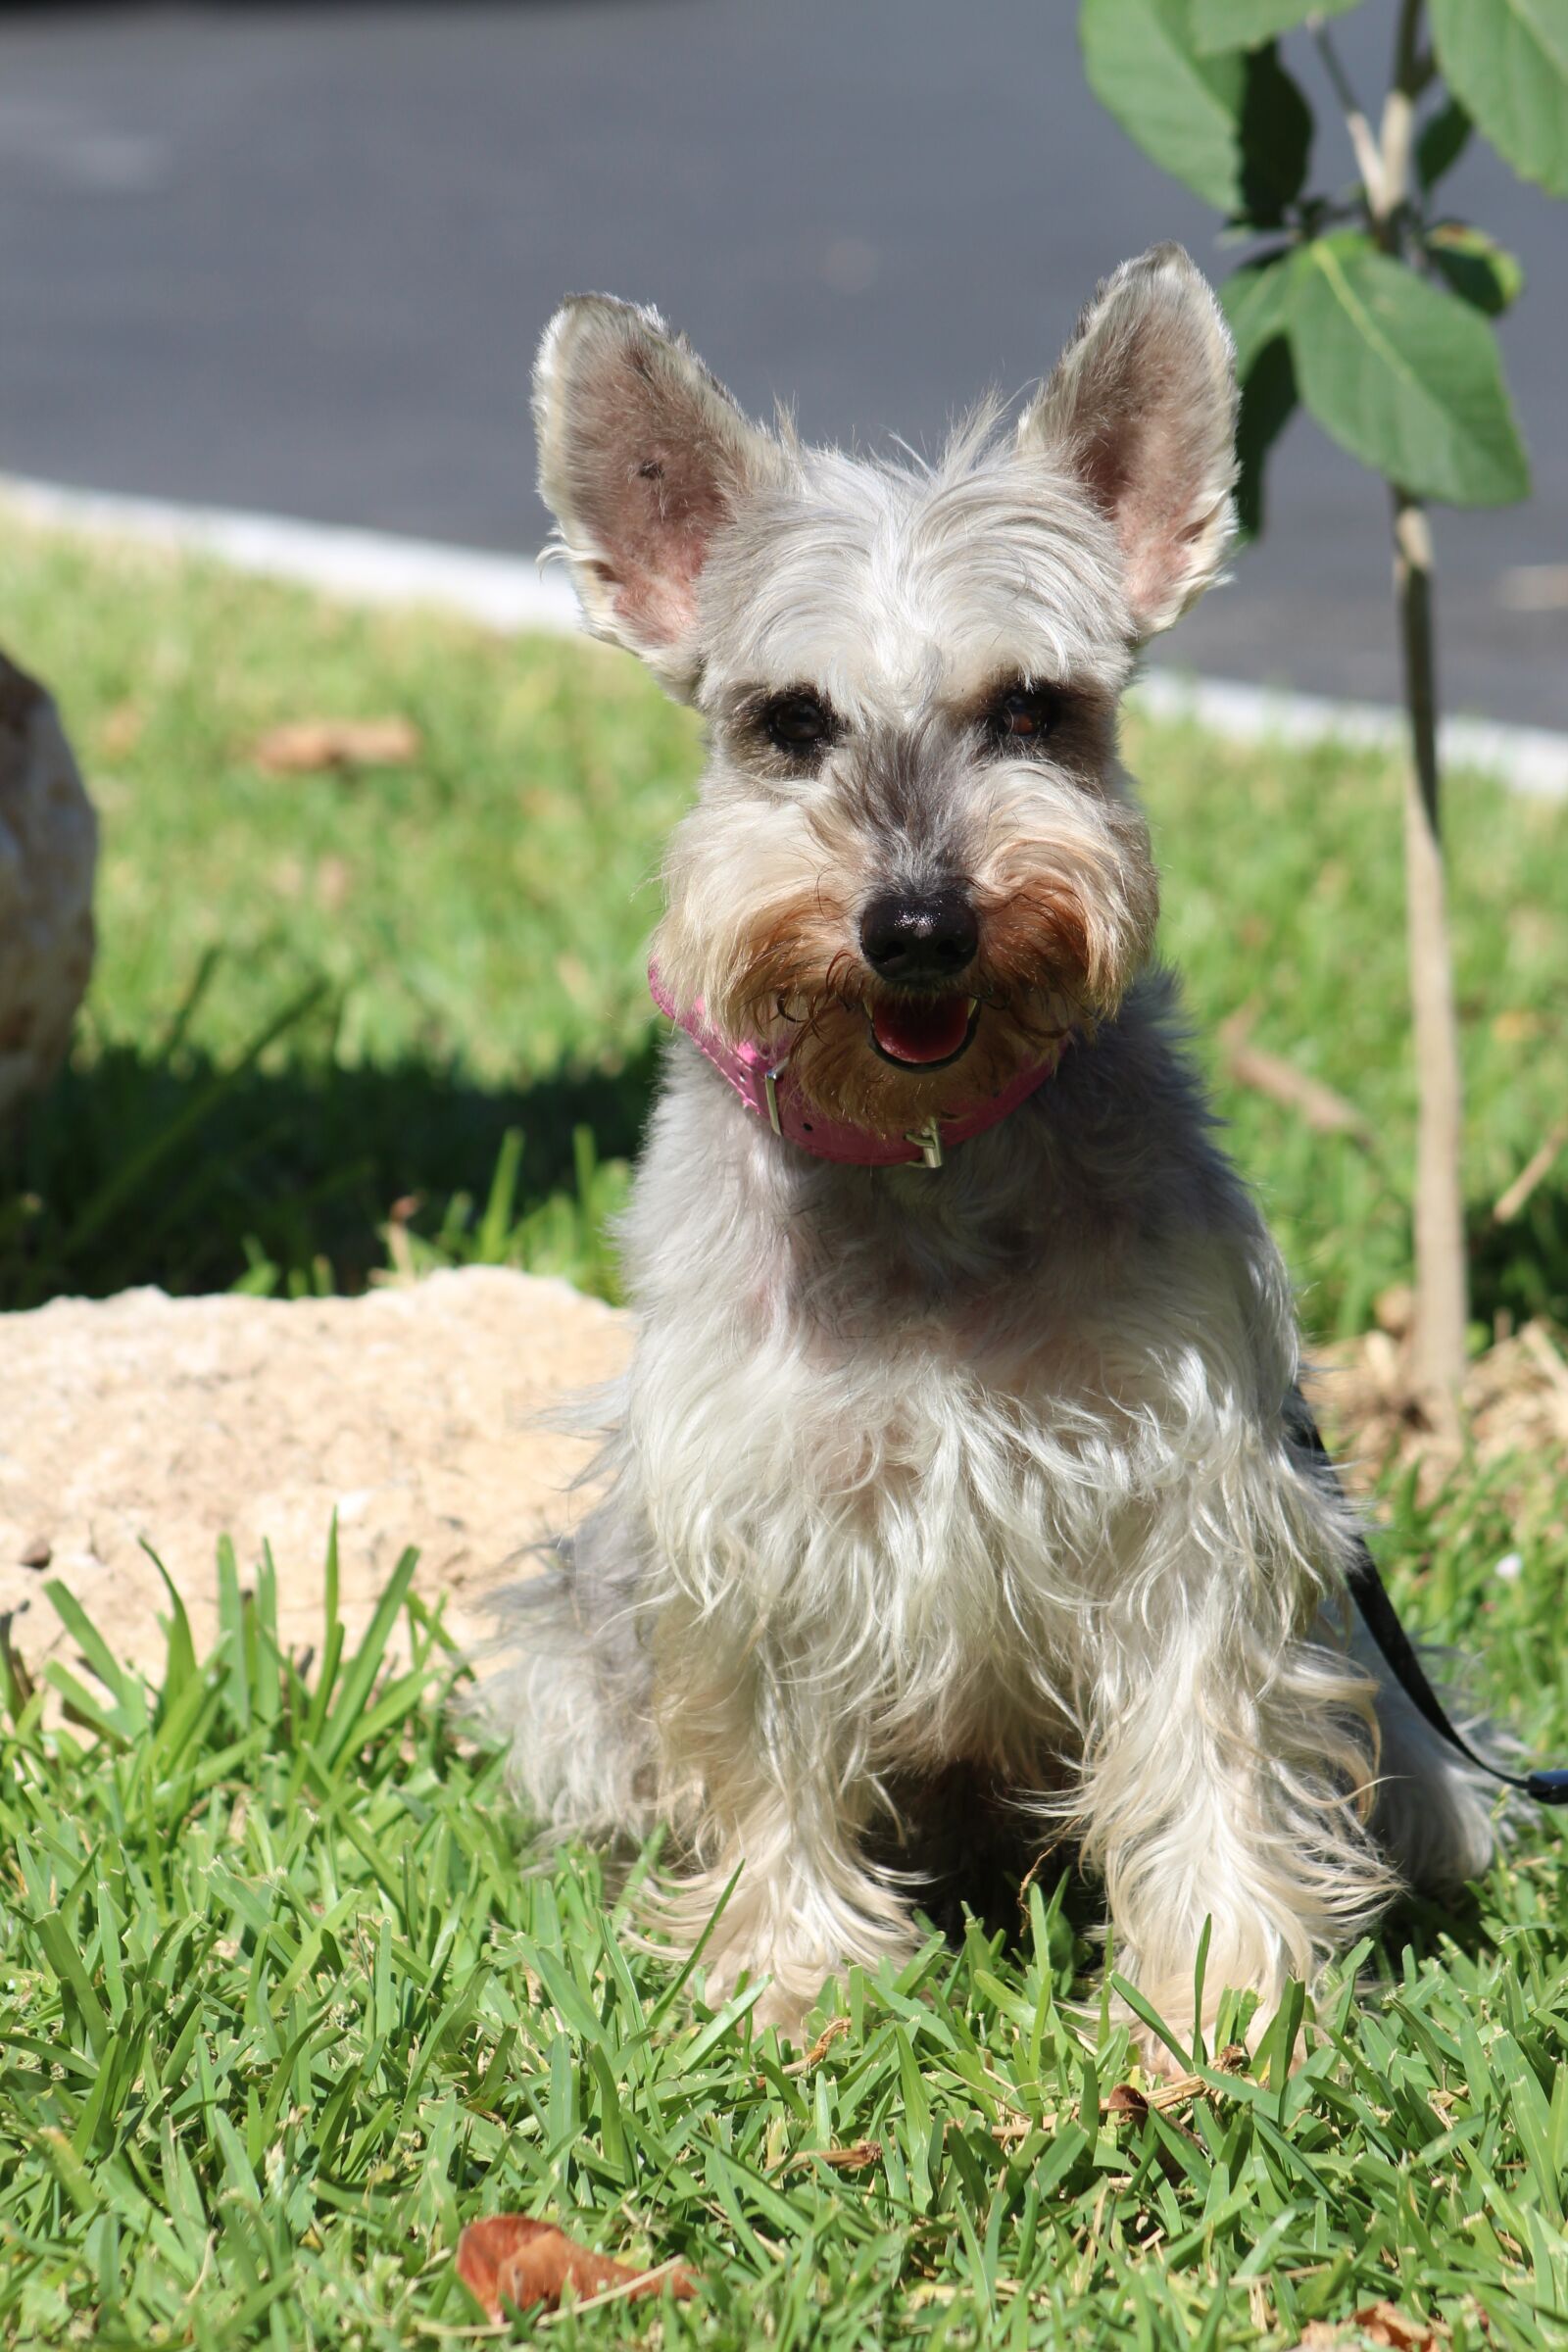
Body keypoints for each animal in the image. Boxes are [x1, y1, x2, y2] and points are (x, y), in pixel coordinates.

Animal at [479, 243, 1494, 2060]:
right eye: (788, 723)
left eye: (1033, 708)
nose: (918, 925)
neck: (934, 1156)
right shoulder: (747, 1515)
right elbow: (760, 1757)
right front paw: (791, 1978)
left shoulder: (1191, 1492)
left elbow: (1208, 1744)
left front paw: (1219, 2003)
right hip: (571, 1665)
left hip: (1402, 1714)